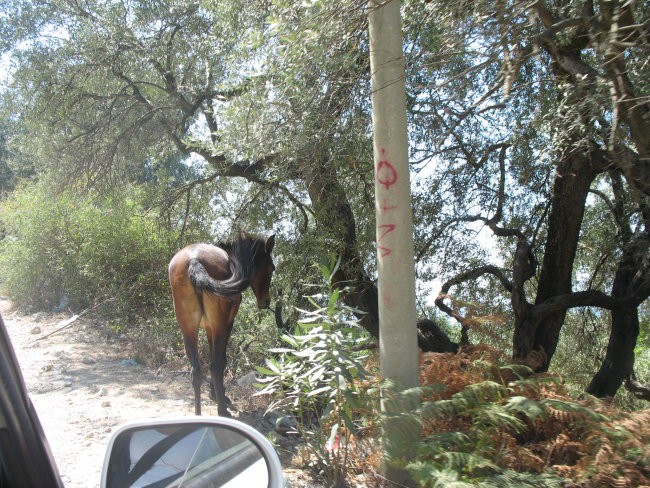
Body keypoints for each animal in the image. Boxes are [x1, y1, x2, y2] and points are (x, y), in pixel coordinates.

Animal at [167, 233, 274, 416]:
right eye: (272, 268)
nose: (265, 301)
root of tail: (194, 259)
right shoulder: (224, 325)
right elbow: (220, 360)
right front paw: (220, 397)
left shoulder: (209, 328)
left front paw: (213, 394)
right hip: (218, 325)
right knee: (216, 366)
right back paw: (222, 410)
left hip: (187, 327)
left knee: (196, 370)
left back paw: (198, 414)